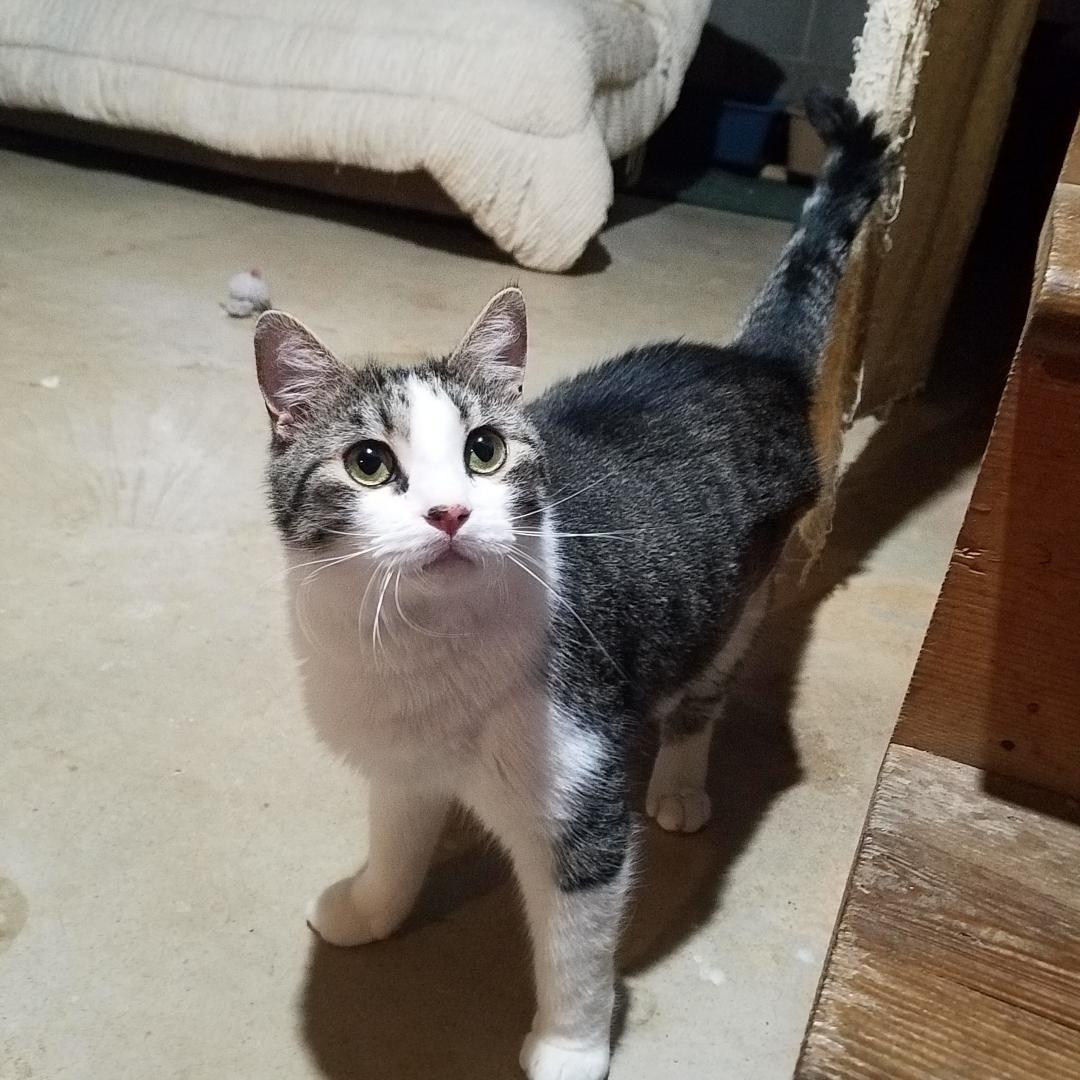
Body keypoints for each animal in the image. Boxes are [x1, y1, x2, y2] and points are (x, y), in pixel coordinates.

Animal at [252, 90, 885, 1080]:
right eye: (367, 464)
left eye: (484, 450)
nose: (449, 513)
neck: (423, 651)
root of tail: (753, 362)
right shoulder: (399, 764)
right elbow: (395, 847)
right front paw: (367, 909)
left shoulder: (582, 814)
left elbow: (574, 954)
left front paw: (568, 1049)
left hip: (736, 603)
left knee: (703, 696)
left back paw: (679, 785)